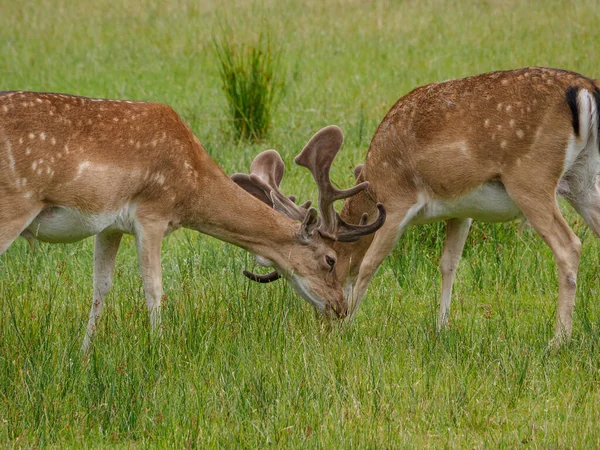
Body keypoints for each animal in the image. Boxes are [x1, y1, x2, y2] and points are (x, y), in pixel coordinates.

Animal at [0, 90, 384, 352]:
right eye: (330, 259)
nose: (339, 308)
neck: (191, 188)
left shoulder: (109, 225)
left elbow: (101, 288)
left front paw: (83, 355)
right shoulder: (152, 213)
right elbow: (154, 287)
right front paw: (158, 349)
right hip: (14, 204)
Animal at [239, 67, 600, 346]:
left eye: (330, 261)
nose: (327, 316)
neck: (375, 176)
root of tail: (585, 90)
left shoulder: (397, 203)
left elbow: (369, 264)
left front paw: (348, 327)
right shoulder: (461, 210)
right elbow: (448, 263)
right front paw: (441, 327)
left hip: (531, 178)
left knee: (569, 244)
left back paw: (558, 340)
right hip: (582, 181)